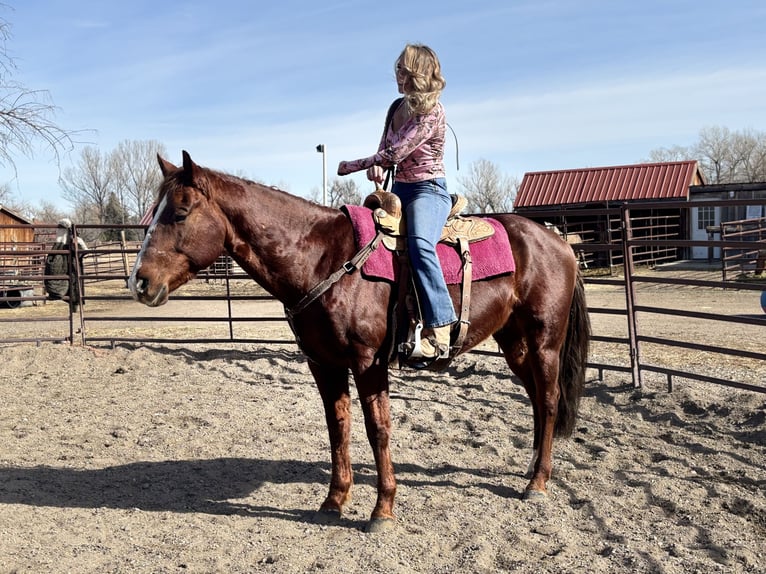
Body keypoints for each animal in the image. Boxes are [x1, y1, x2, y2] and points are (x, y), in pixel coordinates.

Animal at [128, 151, 591, 533]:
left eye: (180, 213)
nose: (140, 282)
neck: (322, 259)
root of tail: (558, 242)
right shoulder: (324, 363)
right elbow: (339, 427)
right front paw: (333, 502)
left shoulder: (369, 363)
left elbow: (377, 429)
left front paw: (382, 510)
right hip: (514, 343)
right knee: (536, 400)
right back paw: (532, 468)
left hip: (544, 340)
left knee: (550, 400)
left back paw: (538, 482)